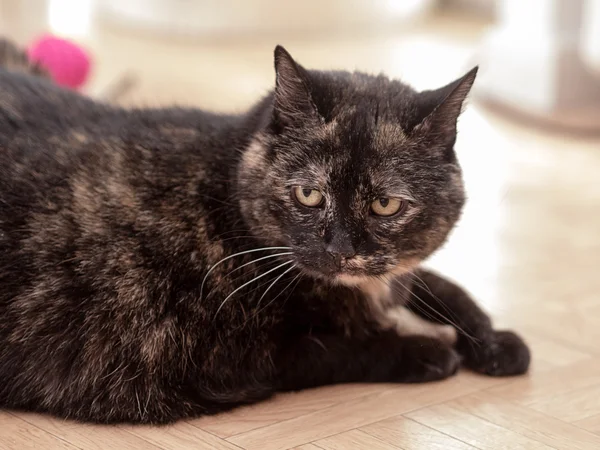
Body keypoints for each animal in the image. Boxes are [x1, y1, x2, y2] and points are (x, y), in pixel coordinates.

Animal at [0, 39, 528, 426]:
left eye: (385, 204)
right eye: (309, 195)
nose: (341, 250)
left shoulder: (396, 273)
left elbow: (440, 285)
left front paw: (492, 340)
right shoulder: (217, 358)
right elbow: (336, 348)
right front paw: (425, 350)